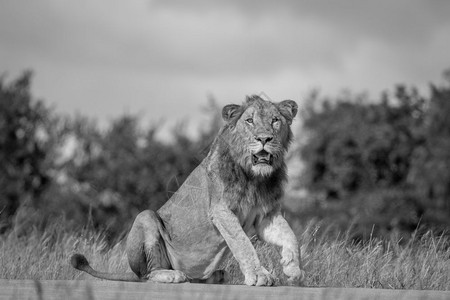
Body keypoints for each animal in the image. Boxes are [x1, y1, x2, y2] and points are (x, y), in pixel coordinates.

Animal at [71, 96, 306, 286]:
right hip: (145, 217)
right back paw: (171, 275)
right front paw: (259, 275)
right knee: (147, 274)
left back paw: (215, 276)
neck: (255, 177)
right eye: (249, 121)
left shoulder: (265, 215)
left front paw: (293, 268)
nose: (264, 139)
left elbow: (289, 236)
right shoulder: (221, 210)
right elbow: (243, 243)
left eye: (275, 120)